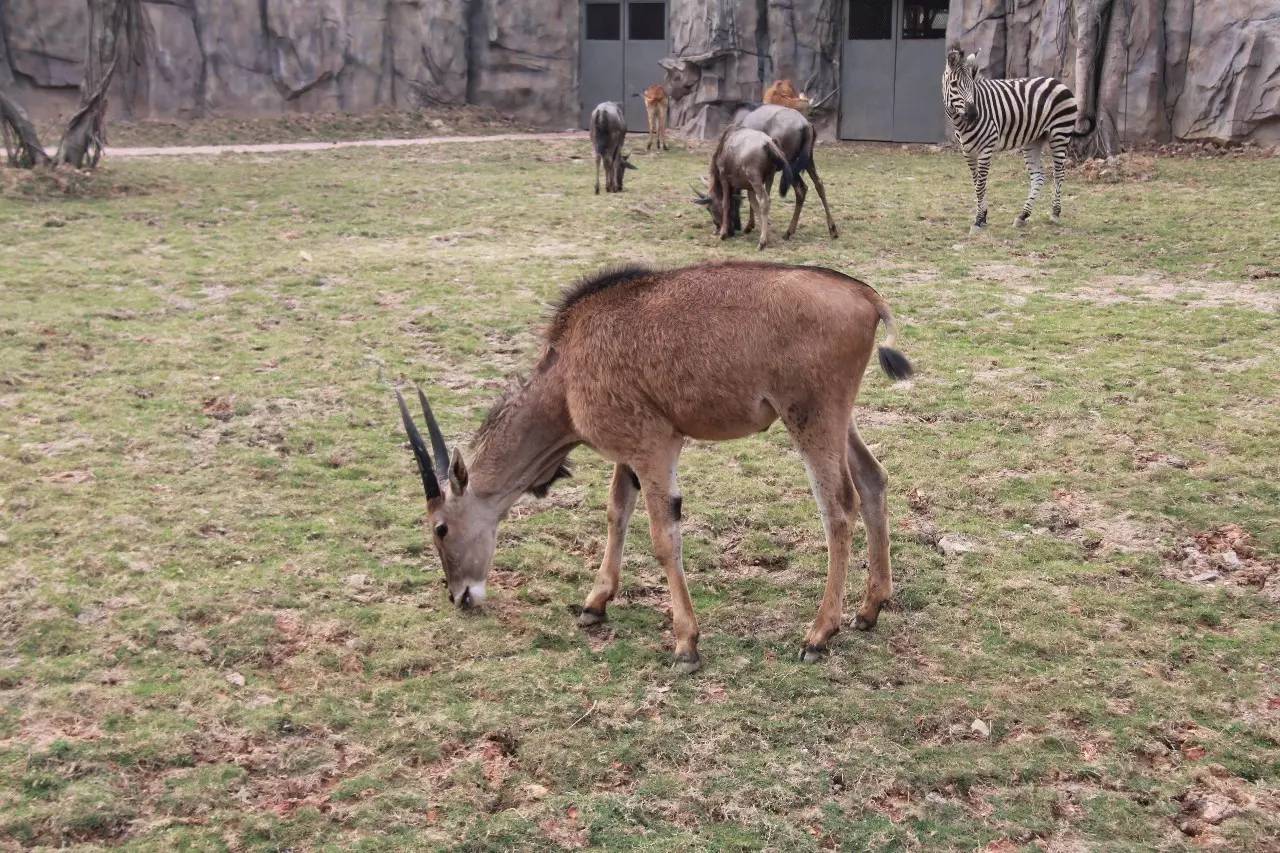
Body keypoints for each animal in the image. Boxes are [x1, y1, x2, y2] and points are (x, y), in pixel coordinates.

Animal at [394, 258, 916, 671]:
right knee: (873, 479)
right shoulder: (630, 455)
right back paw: (869, 609)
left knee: (839, 508)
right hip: (838, 422)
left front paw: (686, 644)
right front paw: (595, 603)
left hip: (811, 419)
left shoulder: (654, 447)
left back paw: (819, 634)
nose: (460, 596)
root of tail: (865, 297)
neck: (567, 371)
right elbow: (616, 512)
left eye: (440, 528)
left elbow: (664, 536)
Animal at [742, 105, 839, 240]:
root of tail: (806, 125)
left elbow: (758, 195)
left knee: (801, 188)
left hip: (789, 165)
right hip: (807, 160)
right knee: (817, 184)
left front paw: (751, 225)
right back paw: (832, 228)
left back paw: (789, 231)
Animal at [947, 46, 1095, 233]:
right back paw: (1023, 215)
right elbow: (977, 184)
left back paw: (1055, 213)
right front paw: (983, 216)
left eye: (972, 86)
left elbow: (980, 185)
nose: (973, 114)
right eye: (954, 85)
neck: (960, 122)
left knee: (1059, 173)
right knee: (1039, 177)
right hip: (1034, 140)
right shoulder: (968, 151)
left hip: (1059, 134)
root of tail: (1058, 82)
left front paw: (978, 220)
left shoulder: (986, 147)